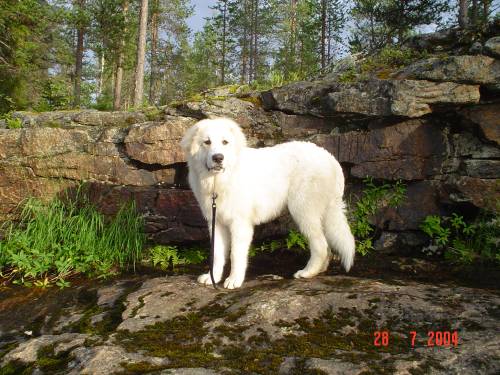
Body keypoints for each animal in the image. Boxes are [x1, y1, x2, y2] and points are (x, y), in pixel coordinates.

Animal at [181, 119, 356, 290]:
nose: (218, 157)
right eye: (207, 142)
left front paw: (234, 280)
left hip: (303, 210)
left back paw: (307, 272)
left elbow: (236, 254)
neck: (220, 180)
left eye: (225, 142)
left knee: (320, 246)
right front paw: (213, 278)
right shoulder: (216, 222)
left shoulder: (240, 224)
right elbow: (217, 253)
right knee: (326, 247)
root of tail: (330, 159)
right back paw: (320, 270)